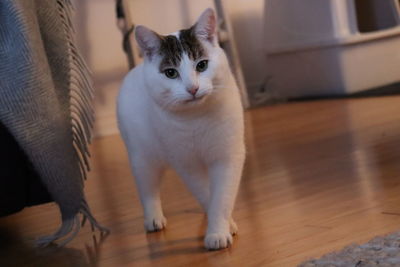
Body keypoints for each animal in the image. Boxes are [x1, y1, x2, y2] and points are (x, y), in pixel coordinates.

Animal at [117, 8, 245, 251]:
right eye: (170, 73)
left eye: (202, 65)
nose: (192, 88)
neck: (197, 119)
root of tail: (134, 69)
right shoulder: (187, 164)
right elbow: (205, 192)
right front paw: (224, 228)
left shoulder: (227, 158)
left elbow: (221, 197)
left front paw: (219, 228)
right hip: (143, 159)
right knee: (148, 190)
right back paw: (154, 219)